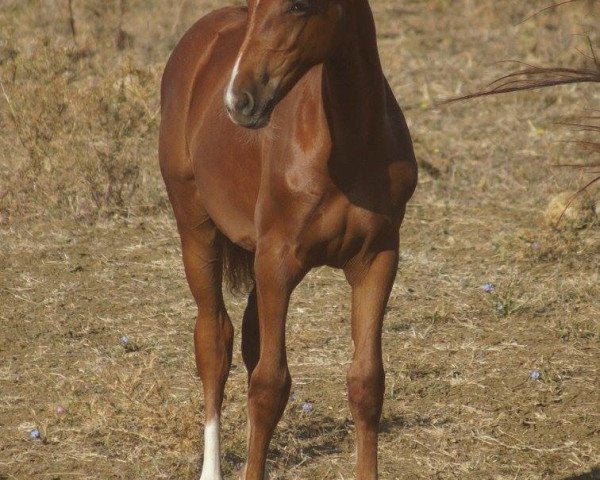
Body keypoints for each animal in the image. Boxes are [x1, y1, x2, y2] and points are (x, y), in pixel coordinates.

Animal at [159, 0, 418, 474]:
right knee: (214, 342)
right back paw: (212, 469)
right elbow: (269, 386)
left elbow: (366, 381)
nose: (238, 101)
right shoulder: (278, 263)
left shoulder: (377, 259)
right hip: (197, 231)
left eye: (299, 6)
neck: (347, 147)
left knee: (247, 341)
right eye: (255, 7)